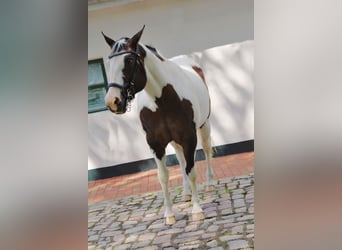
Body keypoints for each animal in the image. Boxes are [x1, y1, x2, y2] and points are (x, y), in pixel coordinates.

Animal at [101, 25, 215, 225]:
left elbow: (192, 171)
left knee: (207, 151)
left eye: (129, 60)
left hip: (204, 126)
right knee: (180, 160)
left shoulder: (189, 138)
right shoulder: (155, 143)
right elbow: (163, 176)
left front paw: (197, 210)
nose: (112, 101)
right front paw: (169, 214)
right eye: (109, 62)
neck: (164, 99)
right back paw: (186, 193)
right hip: (175, 141)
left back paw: (208, 184)